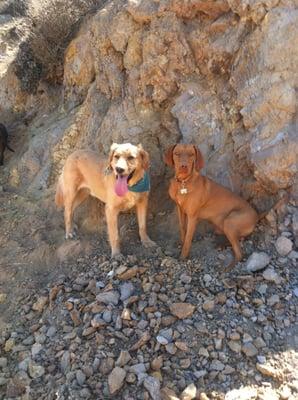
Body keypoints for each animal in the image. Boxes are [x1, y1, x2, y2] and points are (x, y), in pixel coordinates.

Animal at [164, 142, 260, 270]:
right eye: (177, 153)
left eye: (191, 154)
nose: (183, 166)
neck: (184, 183)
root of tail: (257, 216)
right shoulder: (180, 209)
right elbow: (182, 229)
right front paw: (181, 241)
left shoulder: (192, 216)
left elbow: (188, 239)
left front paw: (183, 257)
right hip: (222, 227)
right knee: (238, 239)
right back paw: (223, 244)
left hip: (229, 222)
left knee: (239, 253)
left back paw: (227, 267)